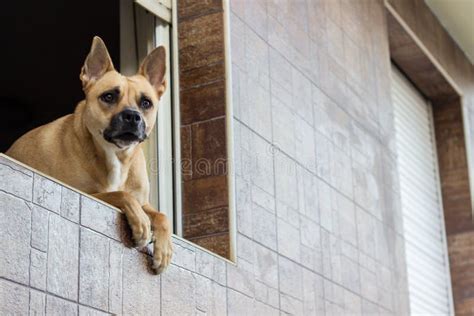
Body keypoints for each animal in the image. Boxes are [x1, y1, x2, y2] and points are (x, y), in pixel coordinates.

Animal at [6, 36, 172, 274]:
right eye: (108, 96)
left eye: (146, 103)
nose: (132, 116)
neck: (117, 156)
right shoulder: (85, 193)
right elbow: (121, 195)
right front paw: (141, 223)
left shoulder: (144, 200)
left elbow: (162, 215)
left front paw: (164, 248)